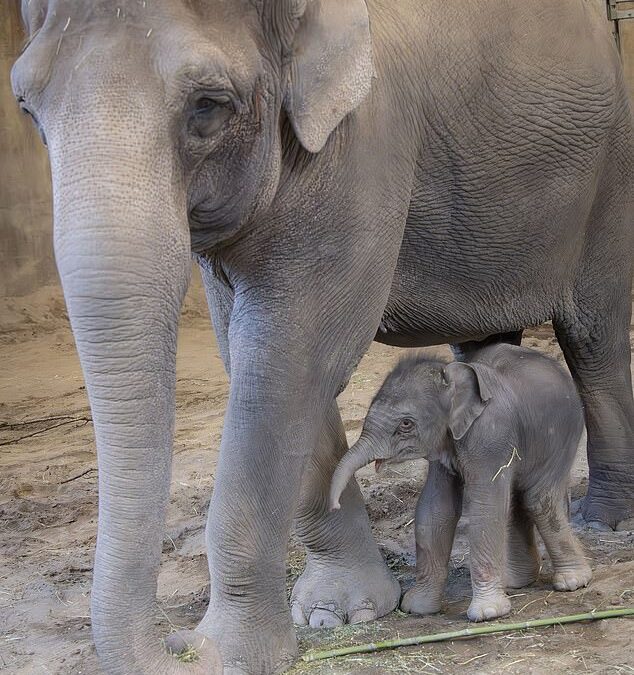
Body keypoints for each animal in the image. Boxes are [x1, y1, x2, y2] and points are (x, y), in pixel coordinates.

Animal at [328, 346, 592, 620]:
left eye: (406, 423)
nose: (334, 505)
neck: (451, 376)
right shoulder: (444, 443)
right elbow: (436, 508)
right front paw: (417, 607)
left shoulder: (491, 436)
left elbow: (486, 508)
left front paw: (487, 613)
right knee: (517, 500)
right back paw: (517, 582)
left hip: (562, 435)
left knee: (538, 499)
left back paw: (572, 582)